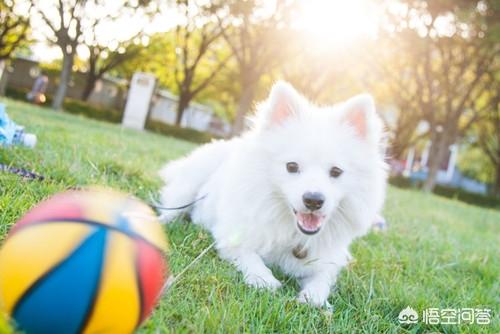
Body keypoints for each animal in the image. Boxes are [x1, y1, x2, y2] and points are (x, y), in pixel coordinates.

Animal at [159, 81, 386, 308]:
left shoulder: (325, 261)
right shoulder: (231, 237)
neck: (294, 233)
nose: (313, 200)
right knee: (170, 209)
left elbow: (323, 279)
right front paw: (264, 279)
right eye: (292, 167)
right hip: (189, 187)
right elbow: (250, 256)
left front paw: (315, 298)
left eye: (336, 171)